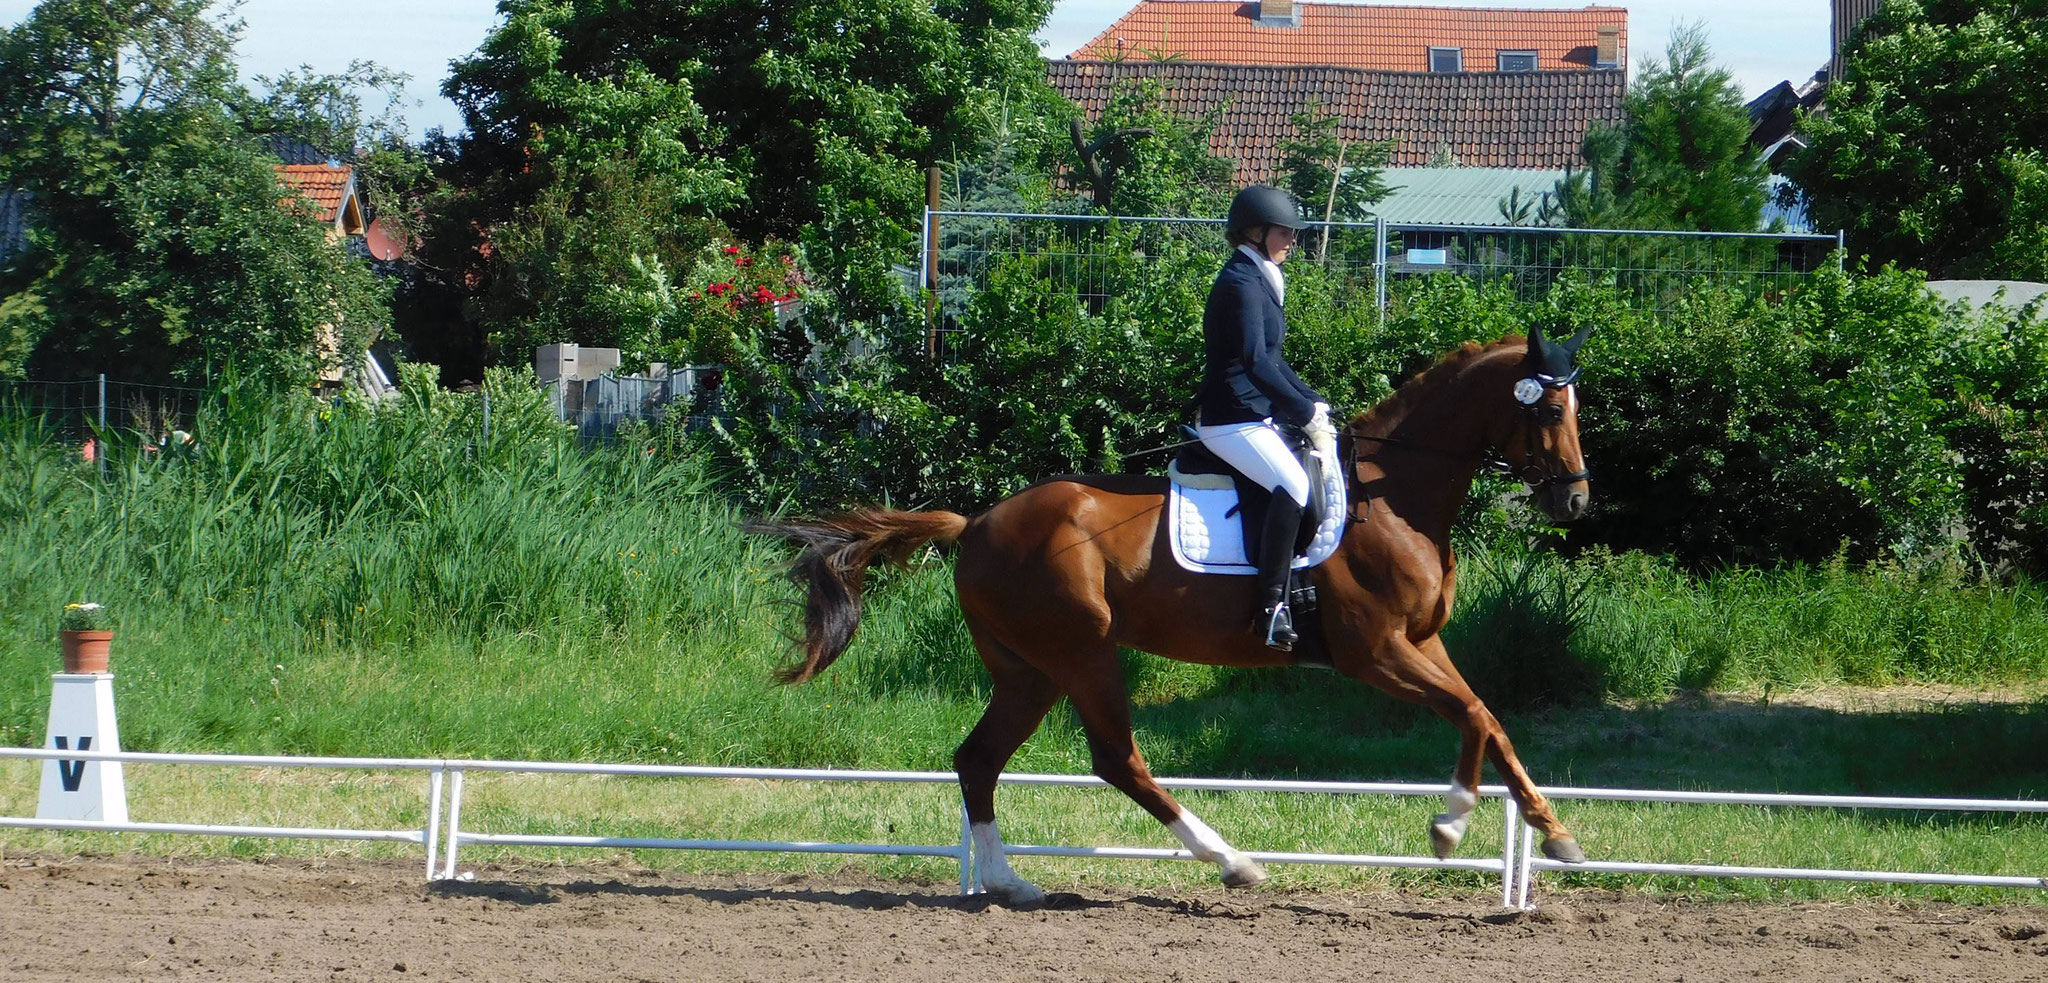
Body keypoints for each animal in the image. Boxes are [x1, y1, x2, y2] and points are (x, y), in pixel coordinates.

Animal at [745, 325, 1589, 901]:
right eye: (1550, 406)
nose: (1576, 501)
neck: (1394, 491)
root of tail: (979, 521)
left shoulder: (1423, 641)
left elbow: (1488, 718)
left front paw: (1557, 835)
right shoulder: (1375, 650)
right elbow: (1473, 714)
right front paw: (1450, 824)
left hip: (1029, 670)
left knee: (978, 758)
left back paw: (1009, 882)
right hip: (1083, 652)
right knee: (1117, 758)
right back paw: (1231, 860)